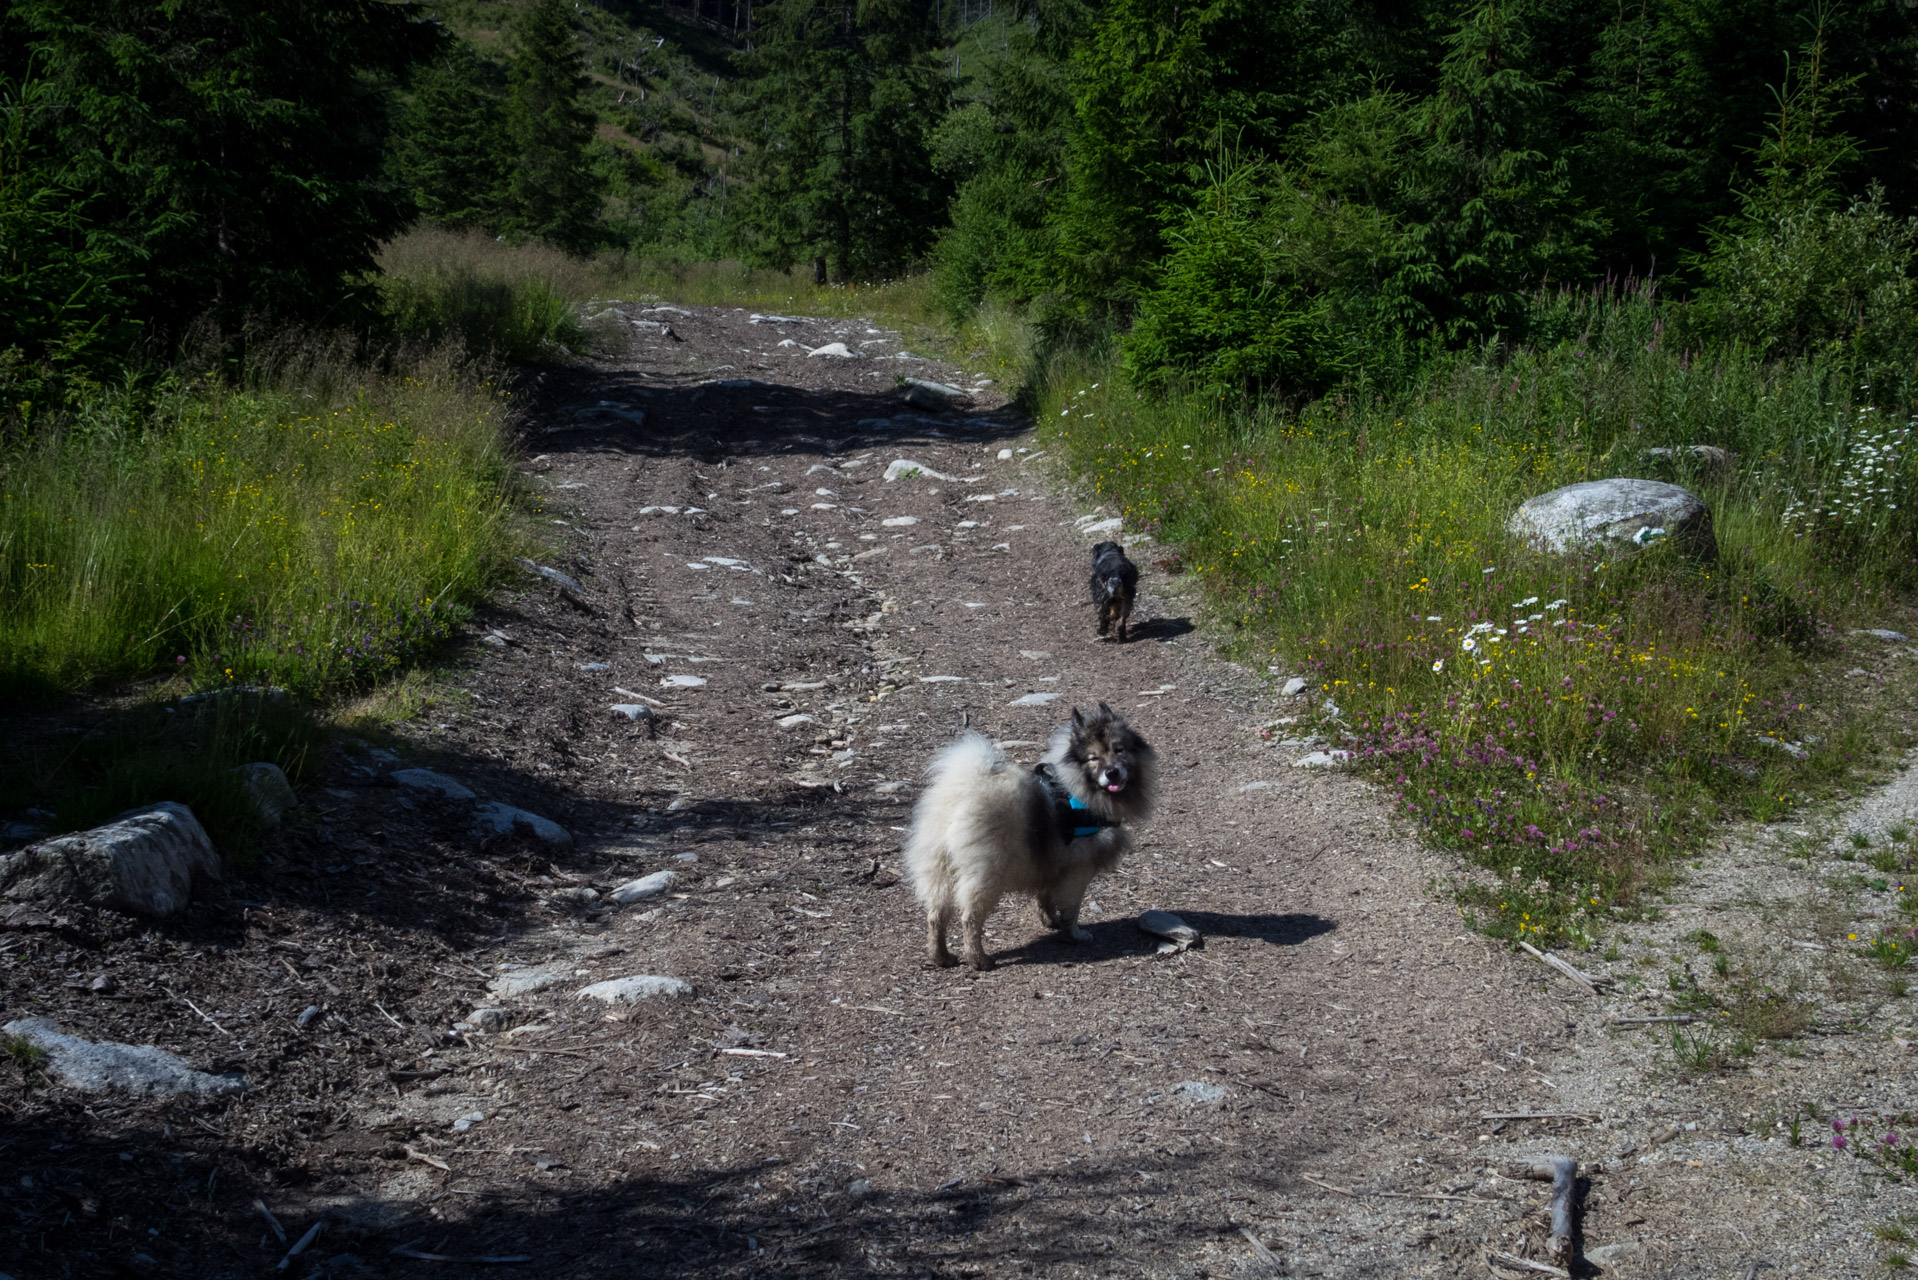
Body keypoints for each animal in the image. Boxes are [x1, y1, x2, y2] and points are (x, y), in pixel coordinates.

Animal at [909, 706, 1158, 967]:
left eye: (1119, 750)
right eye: (1093, 758)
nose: (1112, 773)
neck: (1078, 788)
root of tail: (958, 796)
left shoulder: (1053, 864)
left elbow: (1046, 898)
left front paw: (1051, 921)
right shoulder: (1077, 871)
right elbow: (1071, 908)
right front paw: (1075, 935)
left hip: (939, 871)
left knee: (936, 915)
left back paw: (941, 957)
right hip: (986, 875)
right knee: (970, 918)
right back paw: (979, 960)